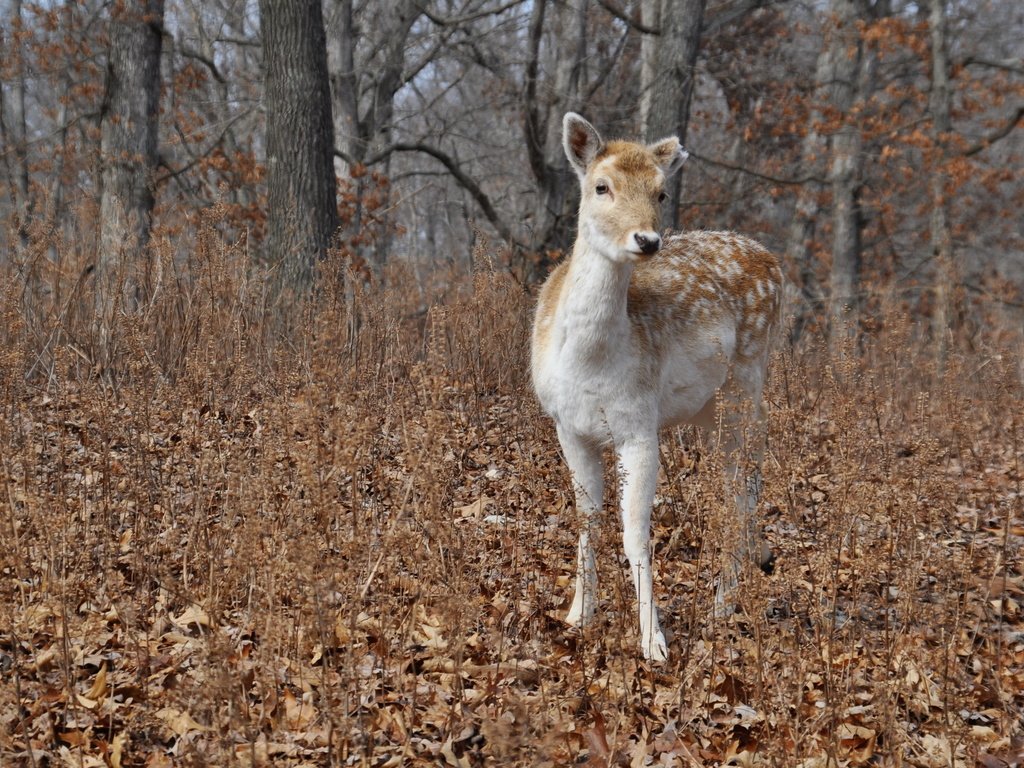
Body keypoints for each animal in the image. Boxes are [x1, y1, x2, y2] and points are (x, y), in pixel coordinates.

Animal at [532, 114, 778, 663]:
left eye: (662, 192)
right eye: (601, 186)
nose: (646, 240)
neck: (591, 366)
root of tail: (772, 259)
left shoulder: (639, 425)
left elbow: (634, 534)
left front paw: (654, 643)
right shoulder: (567, 428)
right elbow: (587, 519)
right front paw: (578, 615)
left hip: (746, 384)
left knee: (743, 487)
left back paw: (724, 603)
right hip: (708, 409)